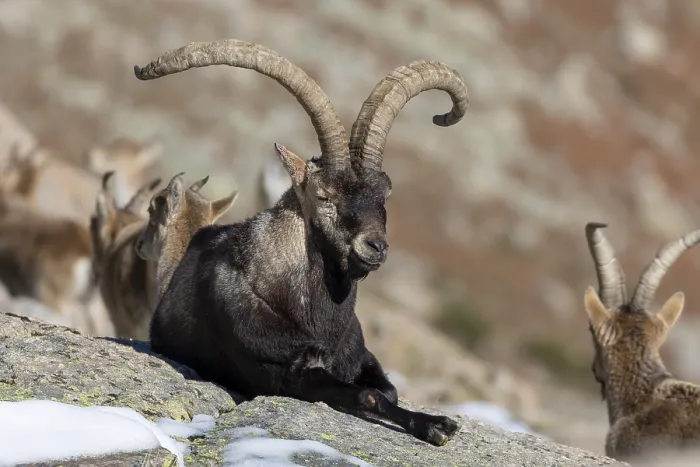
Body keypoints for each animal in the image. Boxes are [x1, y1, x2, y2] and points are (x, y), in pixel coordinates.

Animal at [134, 39, 469, 446]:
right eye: (323, 196)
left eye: (385, 195)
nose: (375, 247)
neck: (317, 317)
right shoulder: (283, 374)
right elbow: (369, 396)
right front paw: (436, 425)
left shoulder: (361, 356)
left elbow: (388, 389)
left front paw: (435, 422)